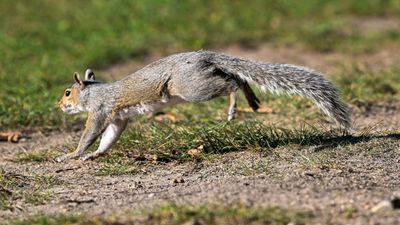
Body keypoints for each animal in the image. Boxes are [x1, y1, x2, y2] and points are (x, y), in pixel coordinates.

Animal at [55, 50, 350, 162]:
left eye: (68, 92)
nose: (58, 105)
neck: (94, 92)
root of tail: (204, 55)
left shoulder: (100, 110)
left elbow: (90, 134)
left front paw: (71, 155)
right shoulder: (118, 118)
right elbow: (109, 138)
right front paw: (95, 155)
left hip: (191, 87)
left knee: (232, 82)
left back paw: (234, 107)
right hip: (200, 80)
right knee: (237, 76)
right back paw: (251, 100)